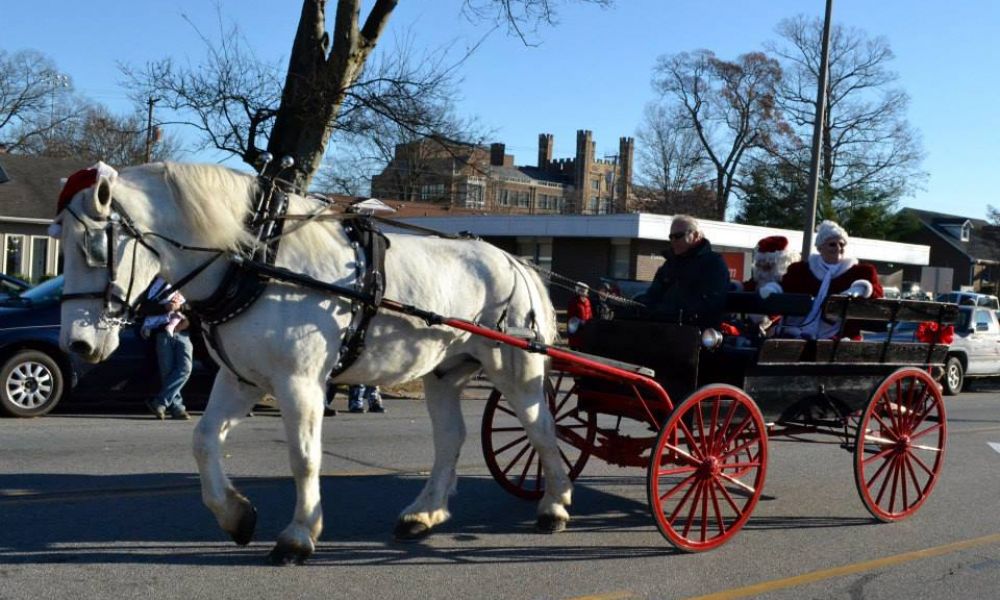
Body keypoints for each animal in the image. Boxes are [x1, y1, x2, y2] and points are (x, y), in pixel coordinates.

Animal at [56, 162, 572, 564]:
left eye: (95, 248)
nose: (76, 344)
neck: (259, 260)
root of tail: (517, 262)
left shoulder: (299, 381)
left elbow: (304, 457)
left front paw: (298, 536)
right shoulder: (241, 378)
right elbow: (204, 441)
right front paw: (236, 515)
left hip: (516, 369)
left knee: (542, 429)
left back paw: (555, 505)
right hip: (444, 373)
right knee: (451, 438)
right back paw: (424, 513)